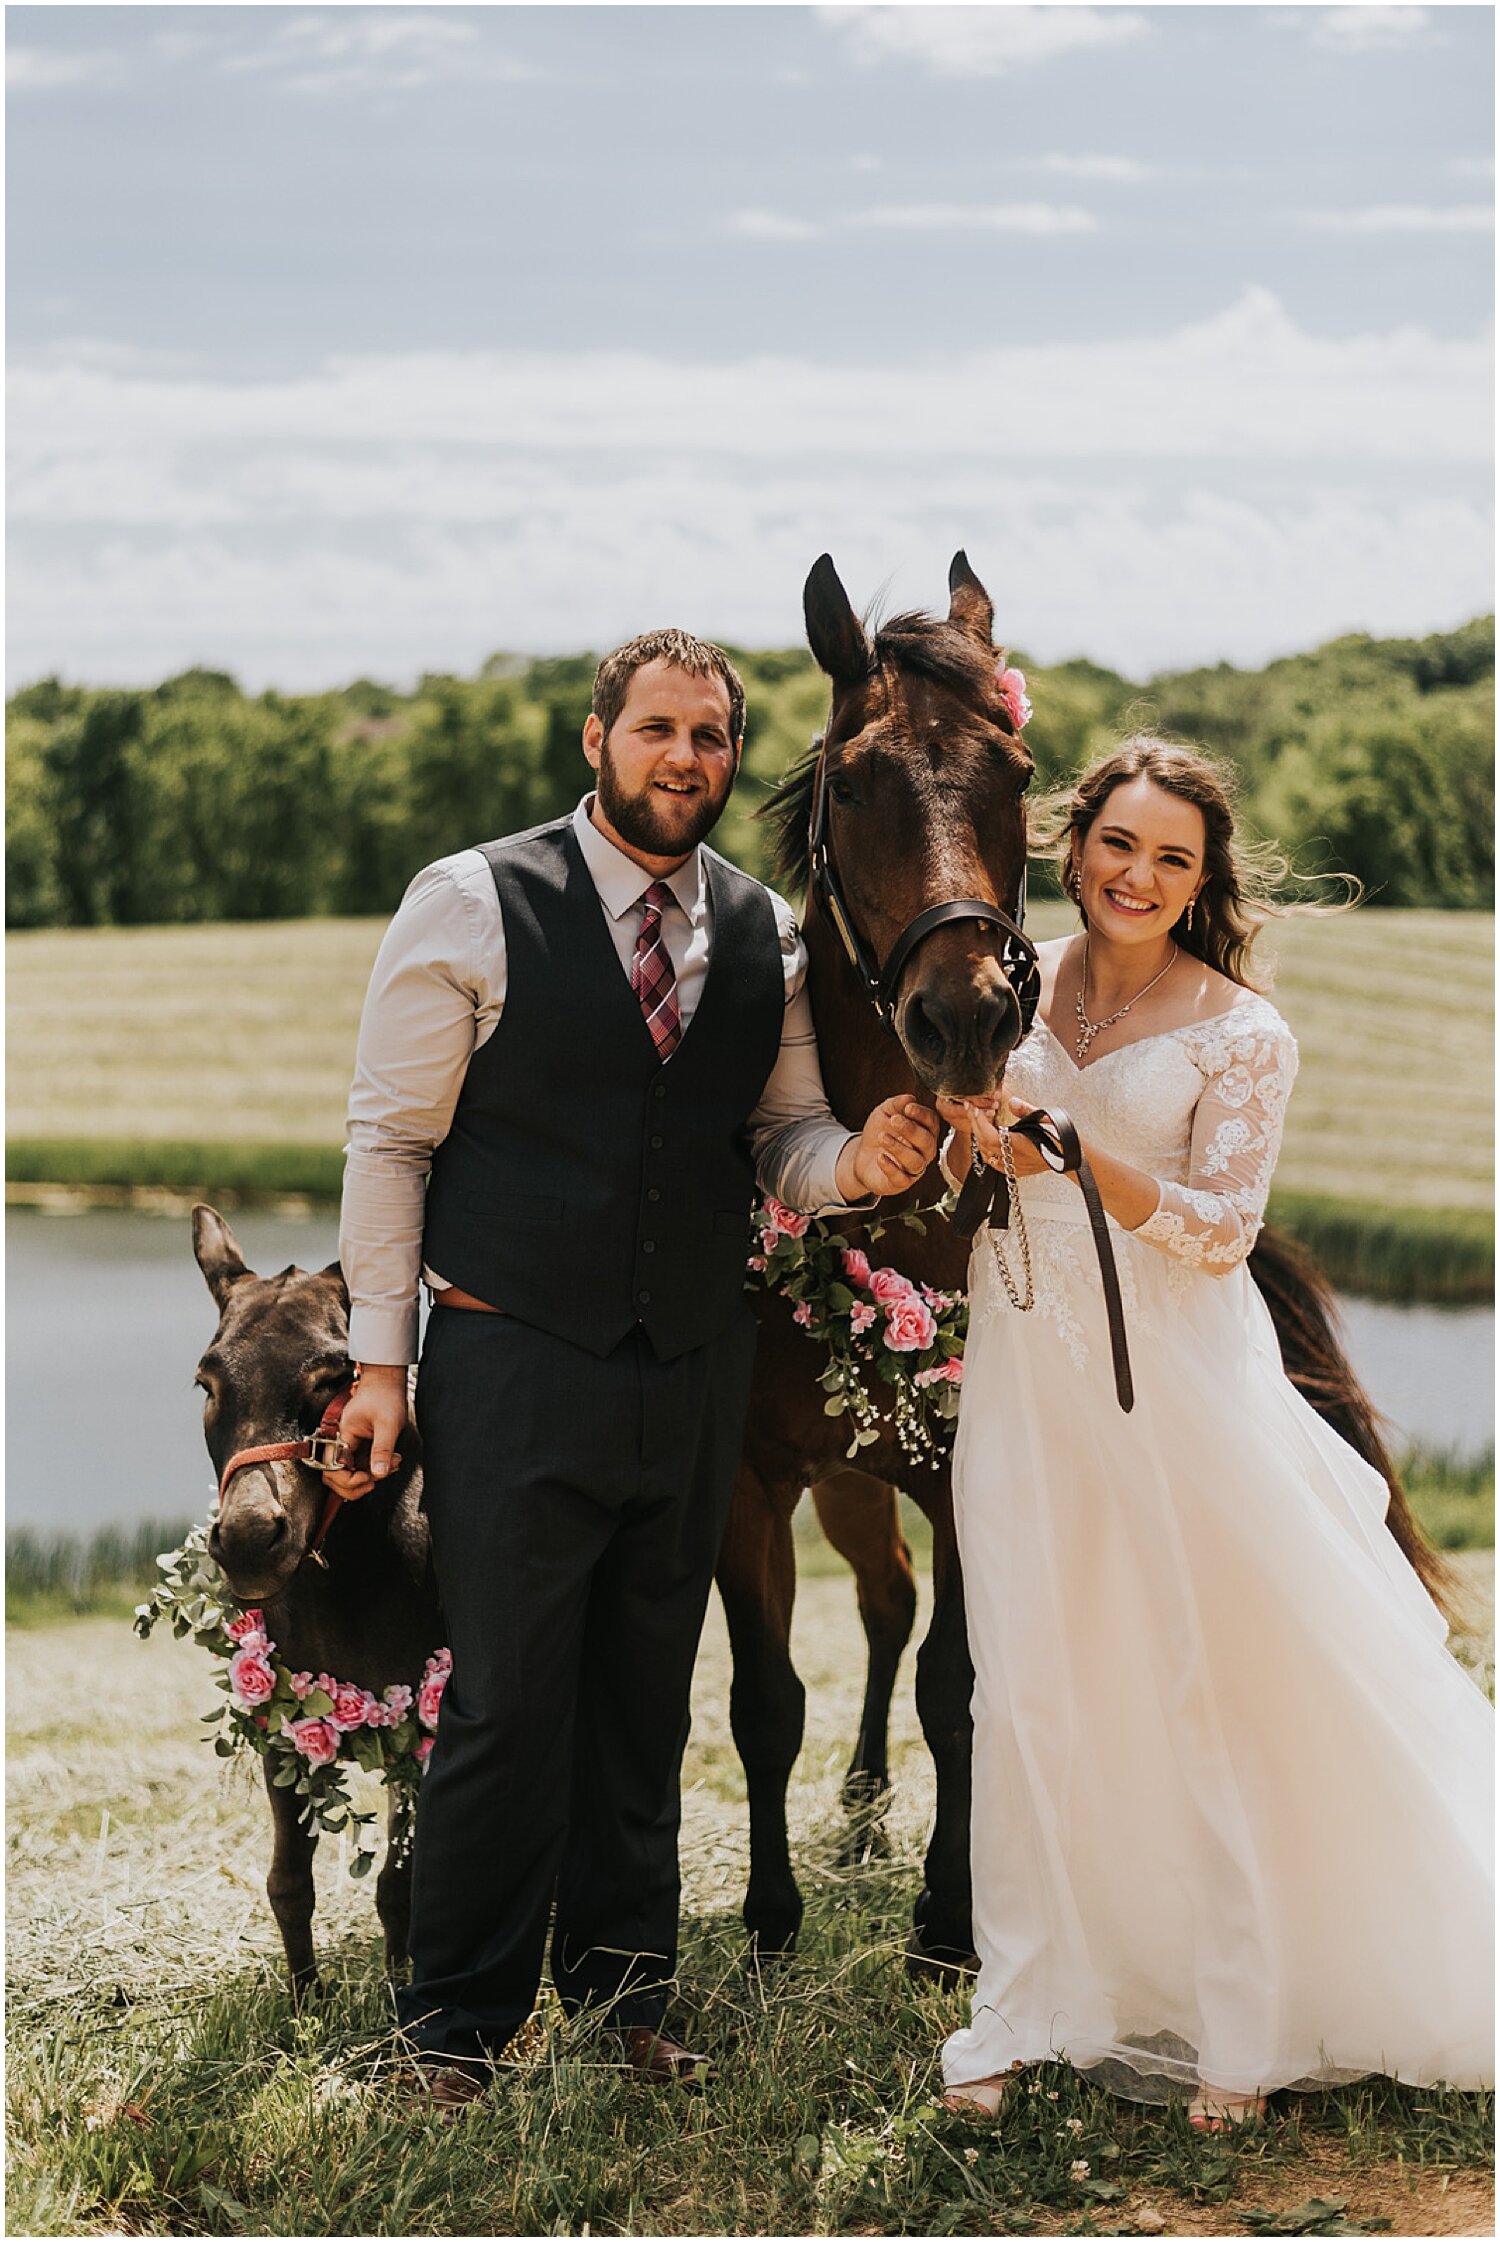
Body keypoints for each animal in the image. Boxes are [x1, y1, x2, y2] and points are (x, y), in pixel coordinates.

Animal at [717, 551, 1443, 1972]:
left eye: (1015, 772)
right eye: (856, 781)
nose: (965, 1015)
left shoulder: (961, 1468)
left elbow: (957, 1680)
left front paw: (951, 1921)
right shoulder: (744, 1482)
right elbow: (767, 1698)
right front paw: (770, 1923)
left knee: (894, 1612)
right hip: (845, 1478)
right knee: (877, 1605)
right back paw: (861, 1807)